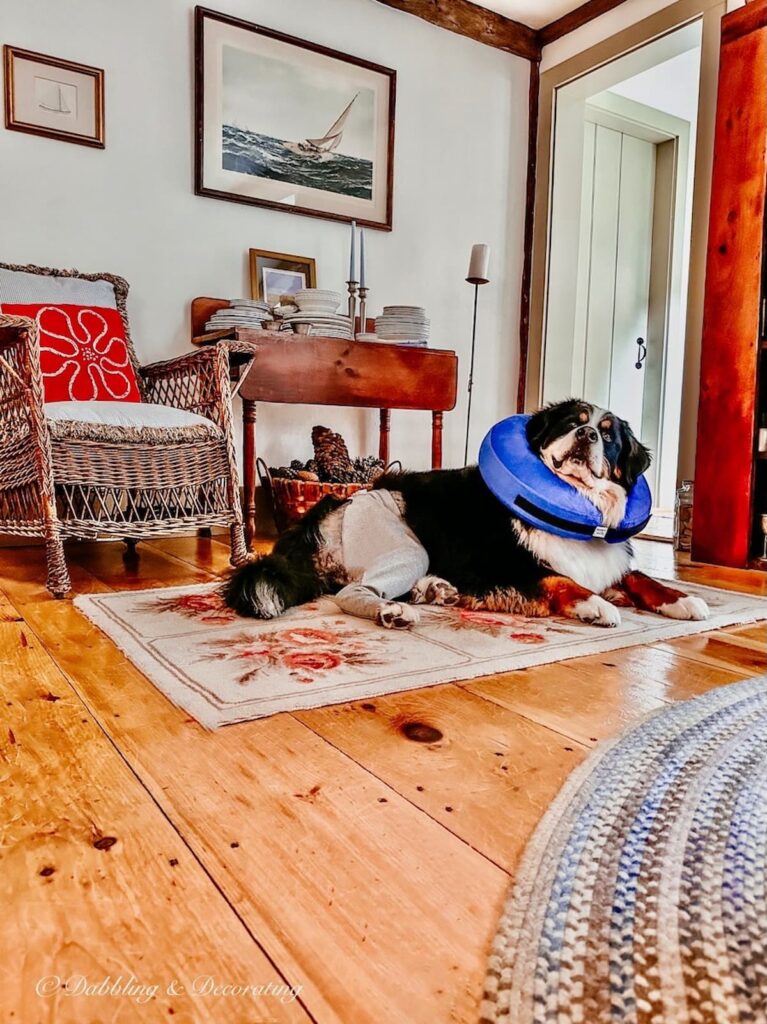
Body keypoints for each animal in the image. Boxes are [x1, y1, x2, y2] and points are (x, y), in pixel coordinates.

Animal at [224, 397, 708, 622]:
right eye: (574, 423)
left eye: (608, 436)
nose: (587, 435)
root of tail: (335, 506)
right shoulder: (501, 564)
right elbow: (558, 578)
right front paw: (595, 604)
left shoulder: (608, 559)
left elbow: (642, 576)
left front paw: (683, 599)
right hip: (405, 541)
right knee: (352, 592)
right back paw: (396, 611)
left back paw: (434, 590)